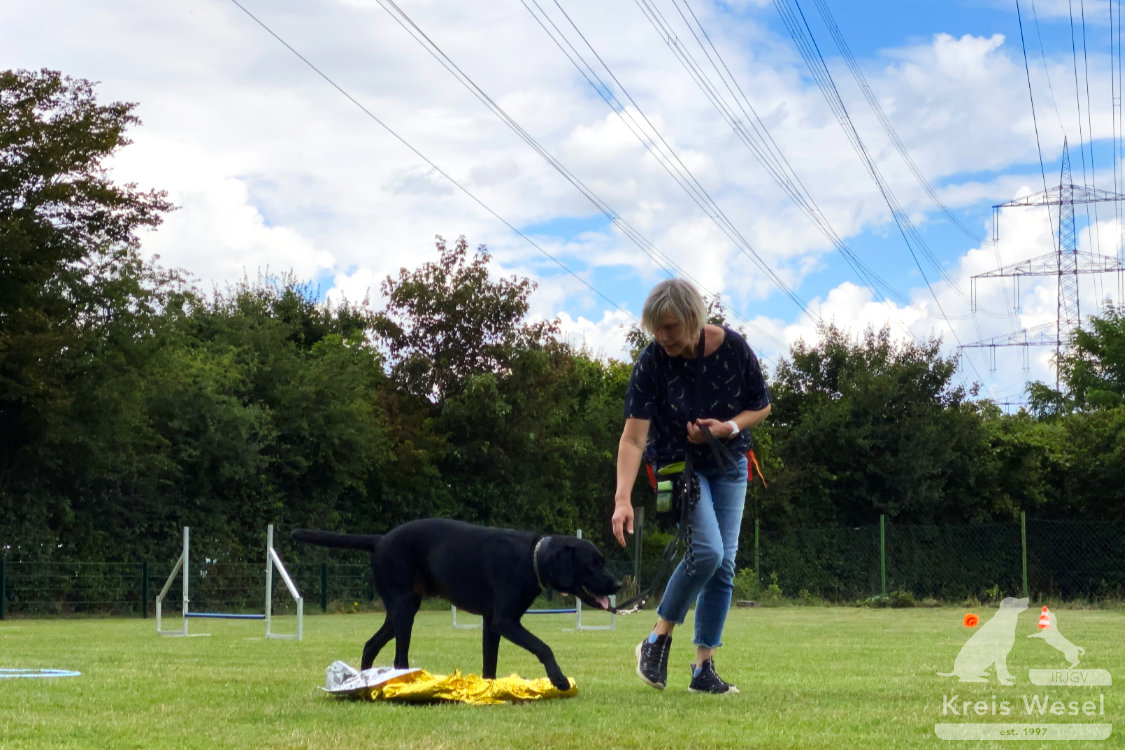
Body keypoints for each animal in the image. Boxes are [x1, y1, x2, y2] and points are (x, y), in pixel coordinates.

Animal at [290, 519, 621, 688]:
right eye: (593, 564)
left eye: (603, 562)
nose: (617, 585)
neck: (532, 559)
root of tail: (379, 540)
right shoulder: (505, 621)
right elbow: (544, 647)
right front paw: (559, 678)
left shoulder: (492, 623)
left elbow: (490, 662)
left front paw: (489, 689)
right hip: (404, 610)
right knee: (399, 658)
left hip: (400, 610)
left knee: (371, 644)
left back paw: (365, 679)